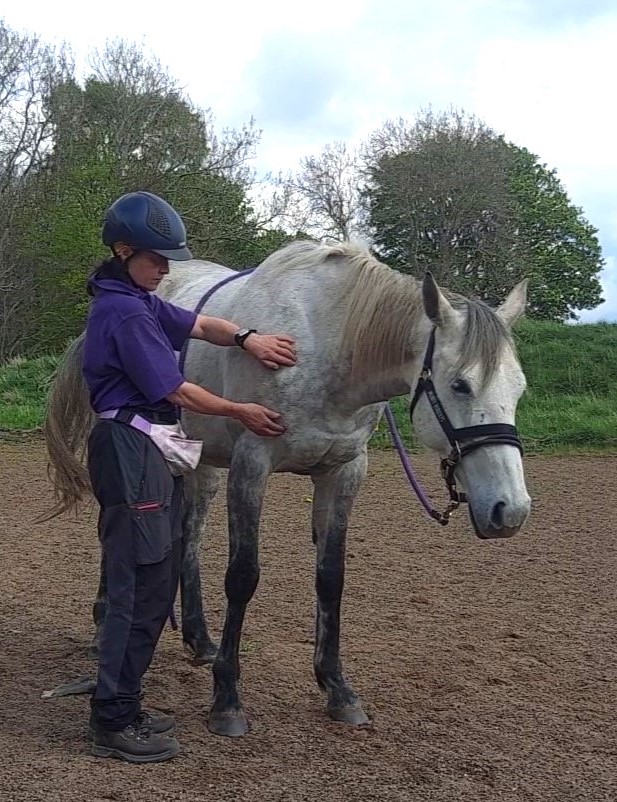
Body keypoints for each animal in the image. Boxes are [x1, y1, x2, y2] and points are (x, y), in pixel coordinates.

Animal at [43, 239, 531, 737]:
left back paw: (200, 639)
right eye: (460, 385)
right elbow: (242, 576)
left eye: (519, 388)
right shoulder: (252, 465)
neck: (330, 344)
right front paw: (227, 700)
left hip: (201, 465)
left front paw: (337, 688)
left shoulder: (343, 472)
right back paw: (105, 625)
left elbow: (331, 579)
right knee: (121, 534)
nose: (509, 510)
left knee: (189, 539)